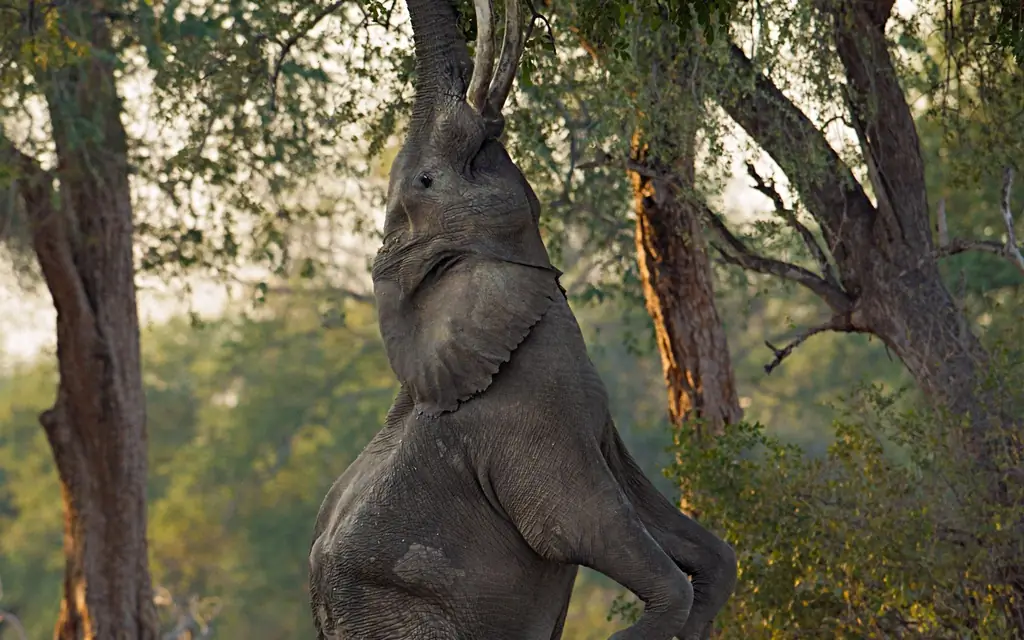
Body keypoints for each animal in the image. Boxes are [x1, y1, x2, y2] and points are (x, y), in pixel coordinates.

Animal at [307, 0, 738, 637]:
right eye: (428, 180)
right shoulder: (526, 421)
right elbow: (577, 528)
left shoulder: (594, 426)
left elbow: (682, 532)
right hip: (404, 620)